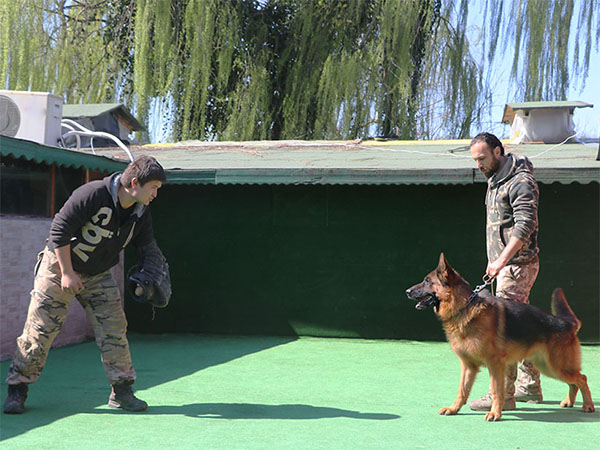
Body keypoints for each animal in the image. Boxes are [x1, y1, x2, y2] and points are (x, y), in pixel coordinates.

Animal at [406, 253, 592, 422]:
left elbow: (496, 391)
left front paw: (495, 413)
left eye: (427, 281)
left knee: (582, 378)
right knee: (574, 382)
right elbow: (462, 390)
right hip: (548, 367)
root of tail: (566, 323)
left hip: (556, 367)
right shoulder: (468, 366)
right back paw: (569, 401)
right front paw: (454, 409)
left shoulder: (495, 365)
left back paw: (588, 405)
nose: (407, 291)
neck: (463, 307)